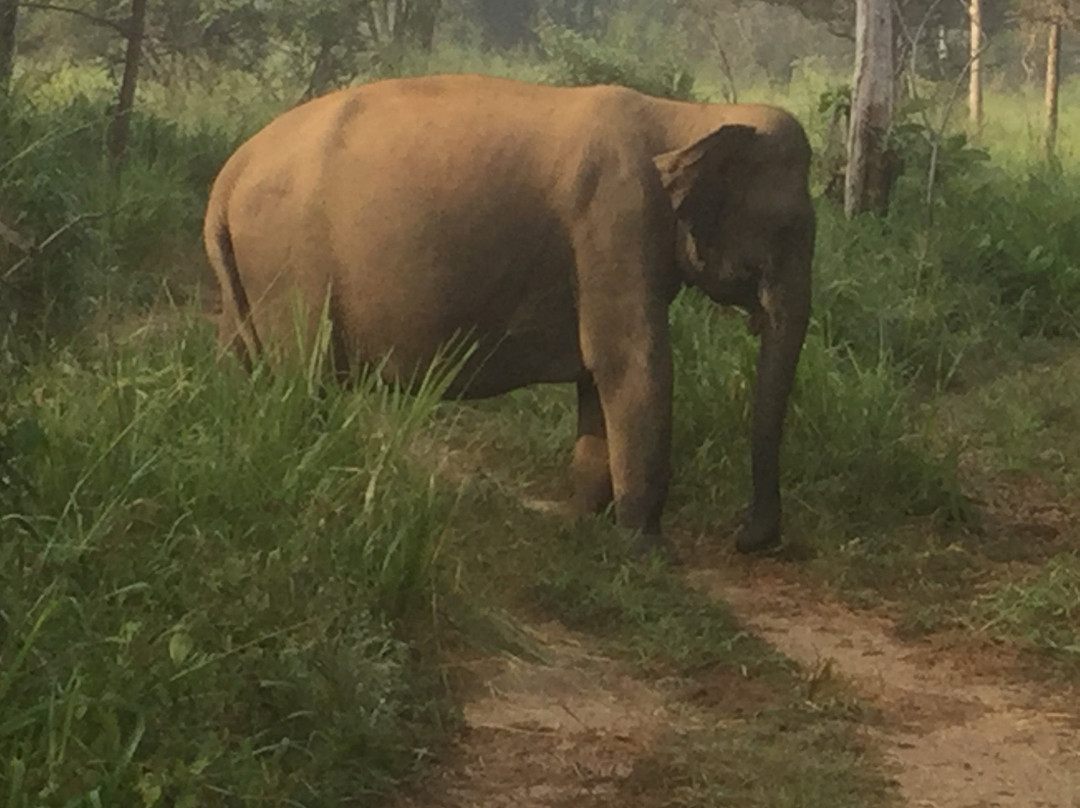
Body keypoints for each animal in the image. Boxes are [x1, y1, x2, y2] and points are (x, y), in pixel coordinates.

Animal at [203, 73, 812, 557]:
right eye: (787, 228)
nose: (744, 538)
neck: (689, 119)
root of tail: (226, 180)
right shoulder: (618, 218)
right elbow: (632, 363)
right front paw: (650, 553)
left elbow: (597, 375)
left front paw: (583, 525)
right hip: (288, 263)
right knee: (303, 379)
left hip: (248, 278)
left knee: (247, 366)